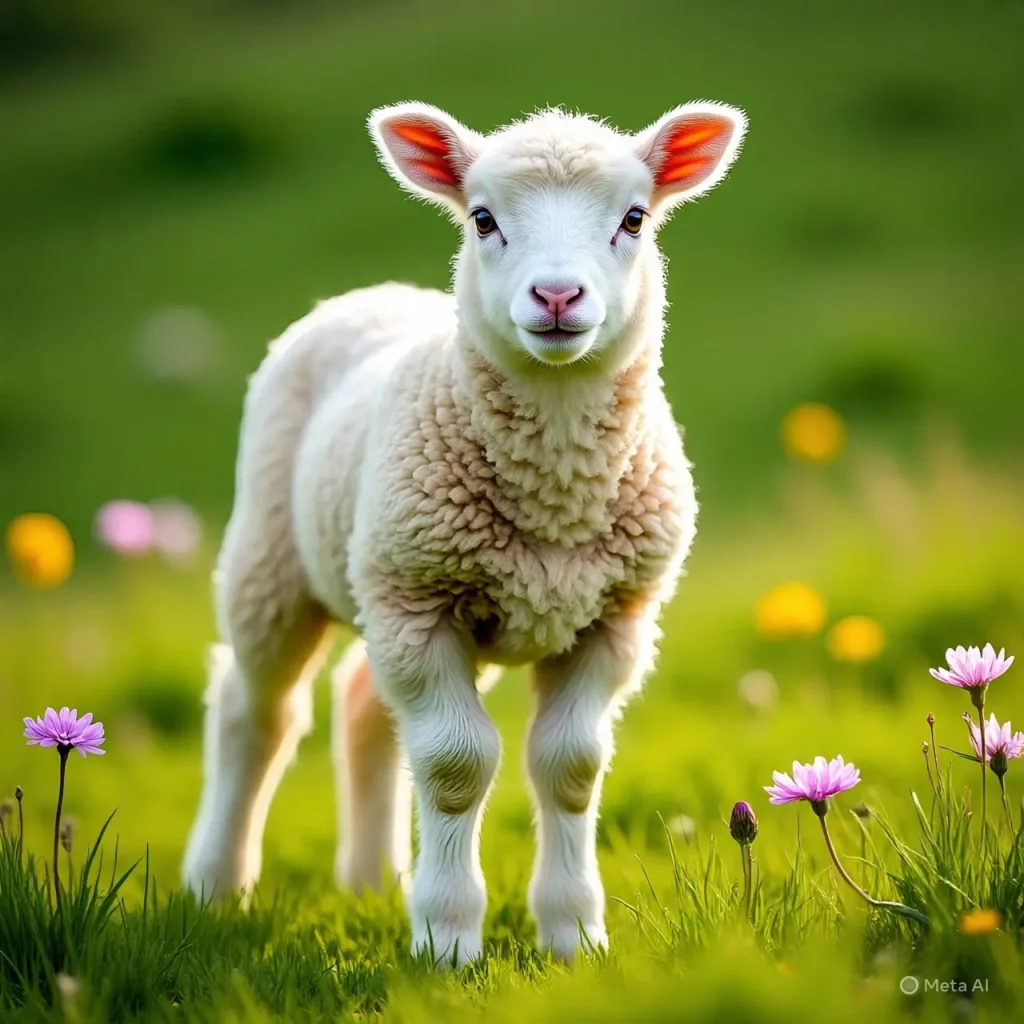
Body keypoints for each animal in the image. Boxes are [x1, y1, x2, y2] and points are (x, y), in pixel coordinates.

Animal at [181, 100, 747, 965]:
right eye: (483, 219)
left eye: (635, 218)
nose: (557, 295)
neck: (555, 491)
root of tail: (371, 293)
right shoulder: (420, 602)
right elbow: (455, 766)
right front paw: (446, 939)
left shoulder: (614, 617)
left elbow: (571, 767)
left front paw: (573, 933)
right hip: (278, 560)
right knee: (256, 711)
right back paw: (217, 884)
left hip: (382, 586)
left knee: (360, 705)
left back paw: (370, 882)